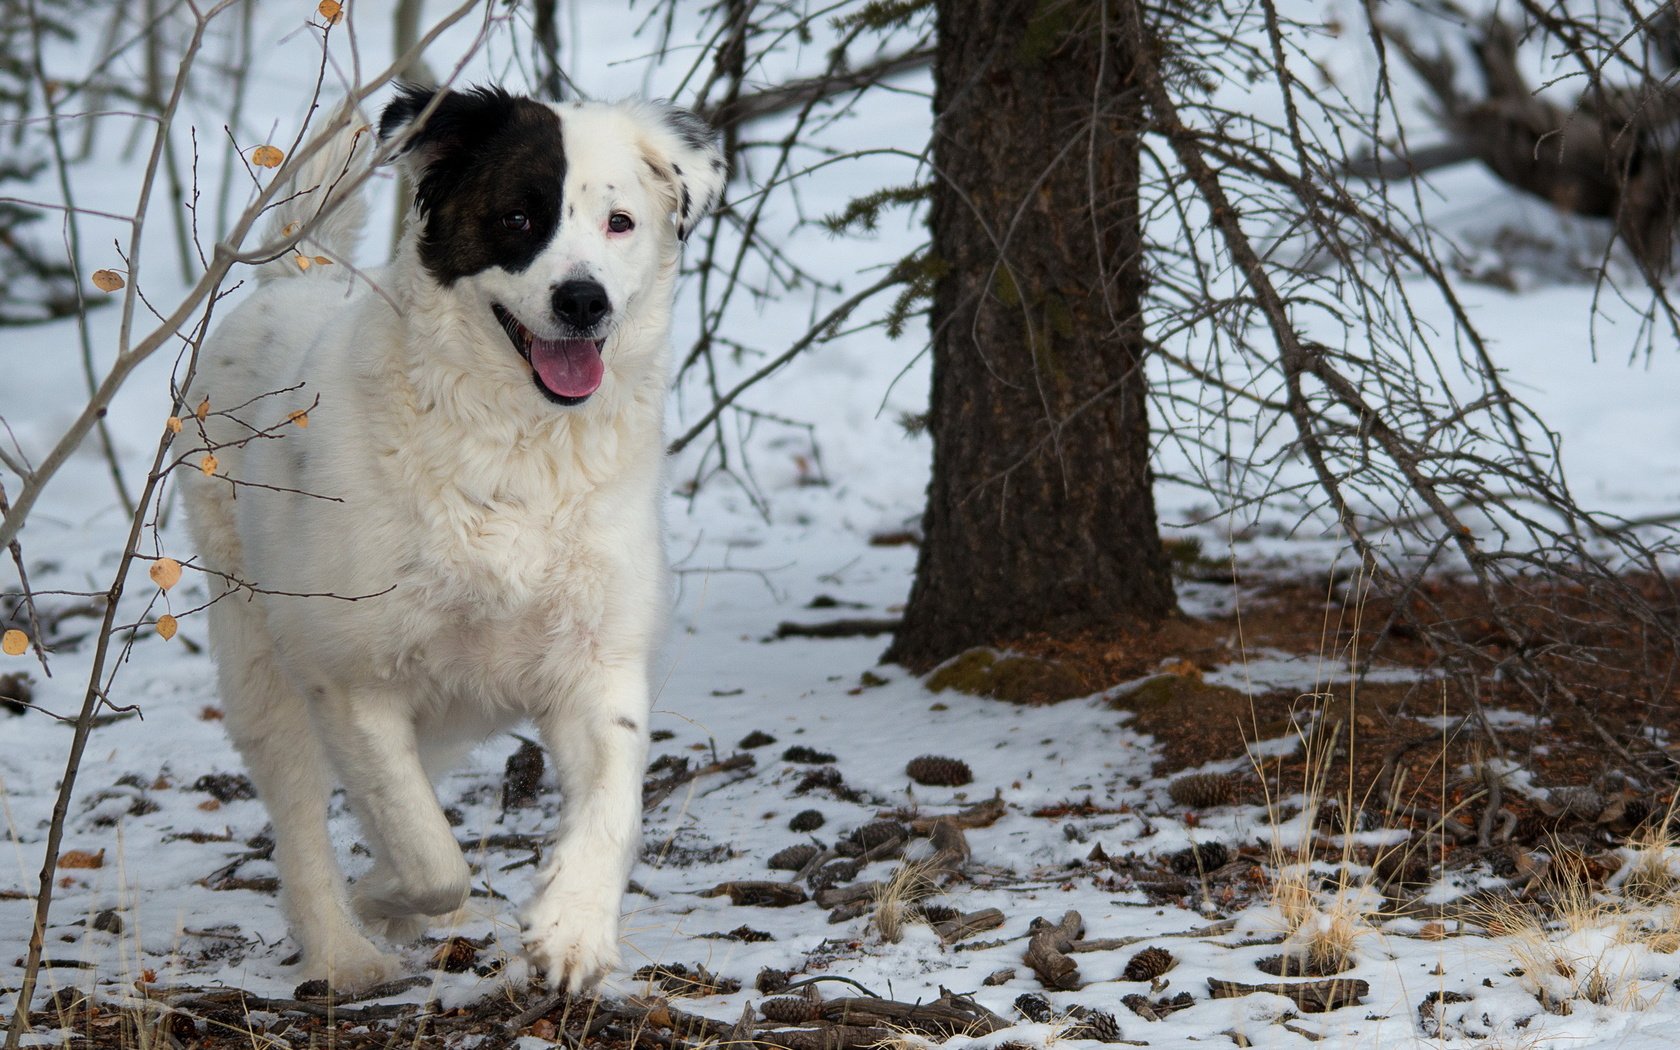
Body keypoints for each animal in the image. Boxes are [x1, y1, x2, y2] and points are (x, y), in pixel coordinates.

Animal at [180, 84, 725, 987]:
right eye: (518, 217)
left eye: (619, 221)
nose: (584, 300)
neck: (517, 449)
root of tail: (300, 272)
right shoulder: (353, 676)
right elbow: (429, 854)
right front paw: (383, 902)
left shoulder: (597, 661)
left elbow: (613, 804)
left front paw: (573, 928)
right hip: (259, 649)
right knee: (300, 813)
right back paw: (342, 951)